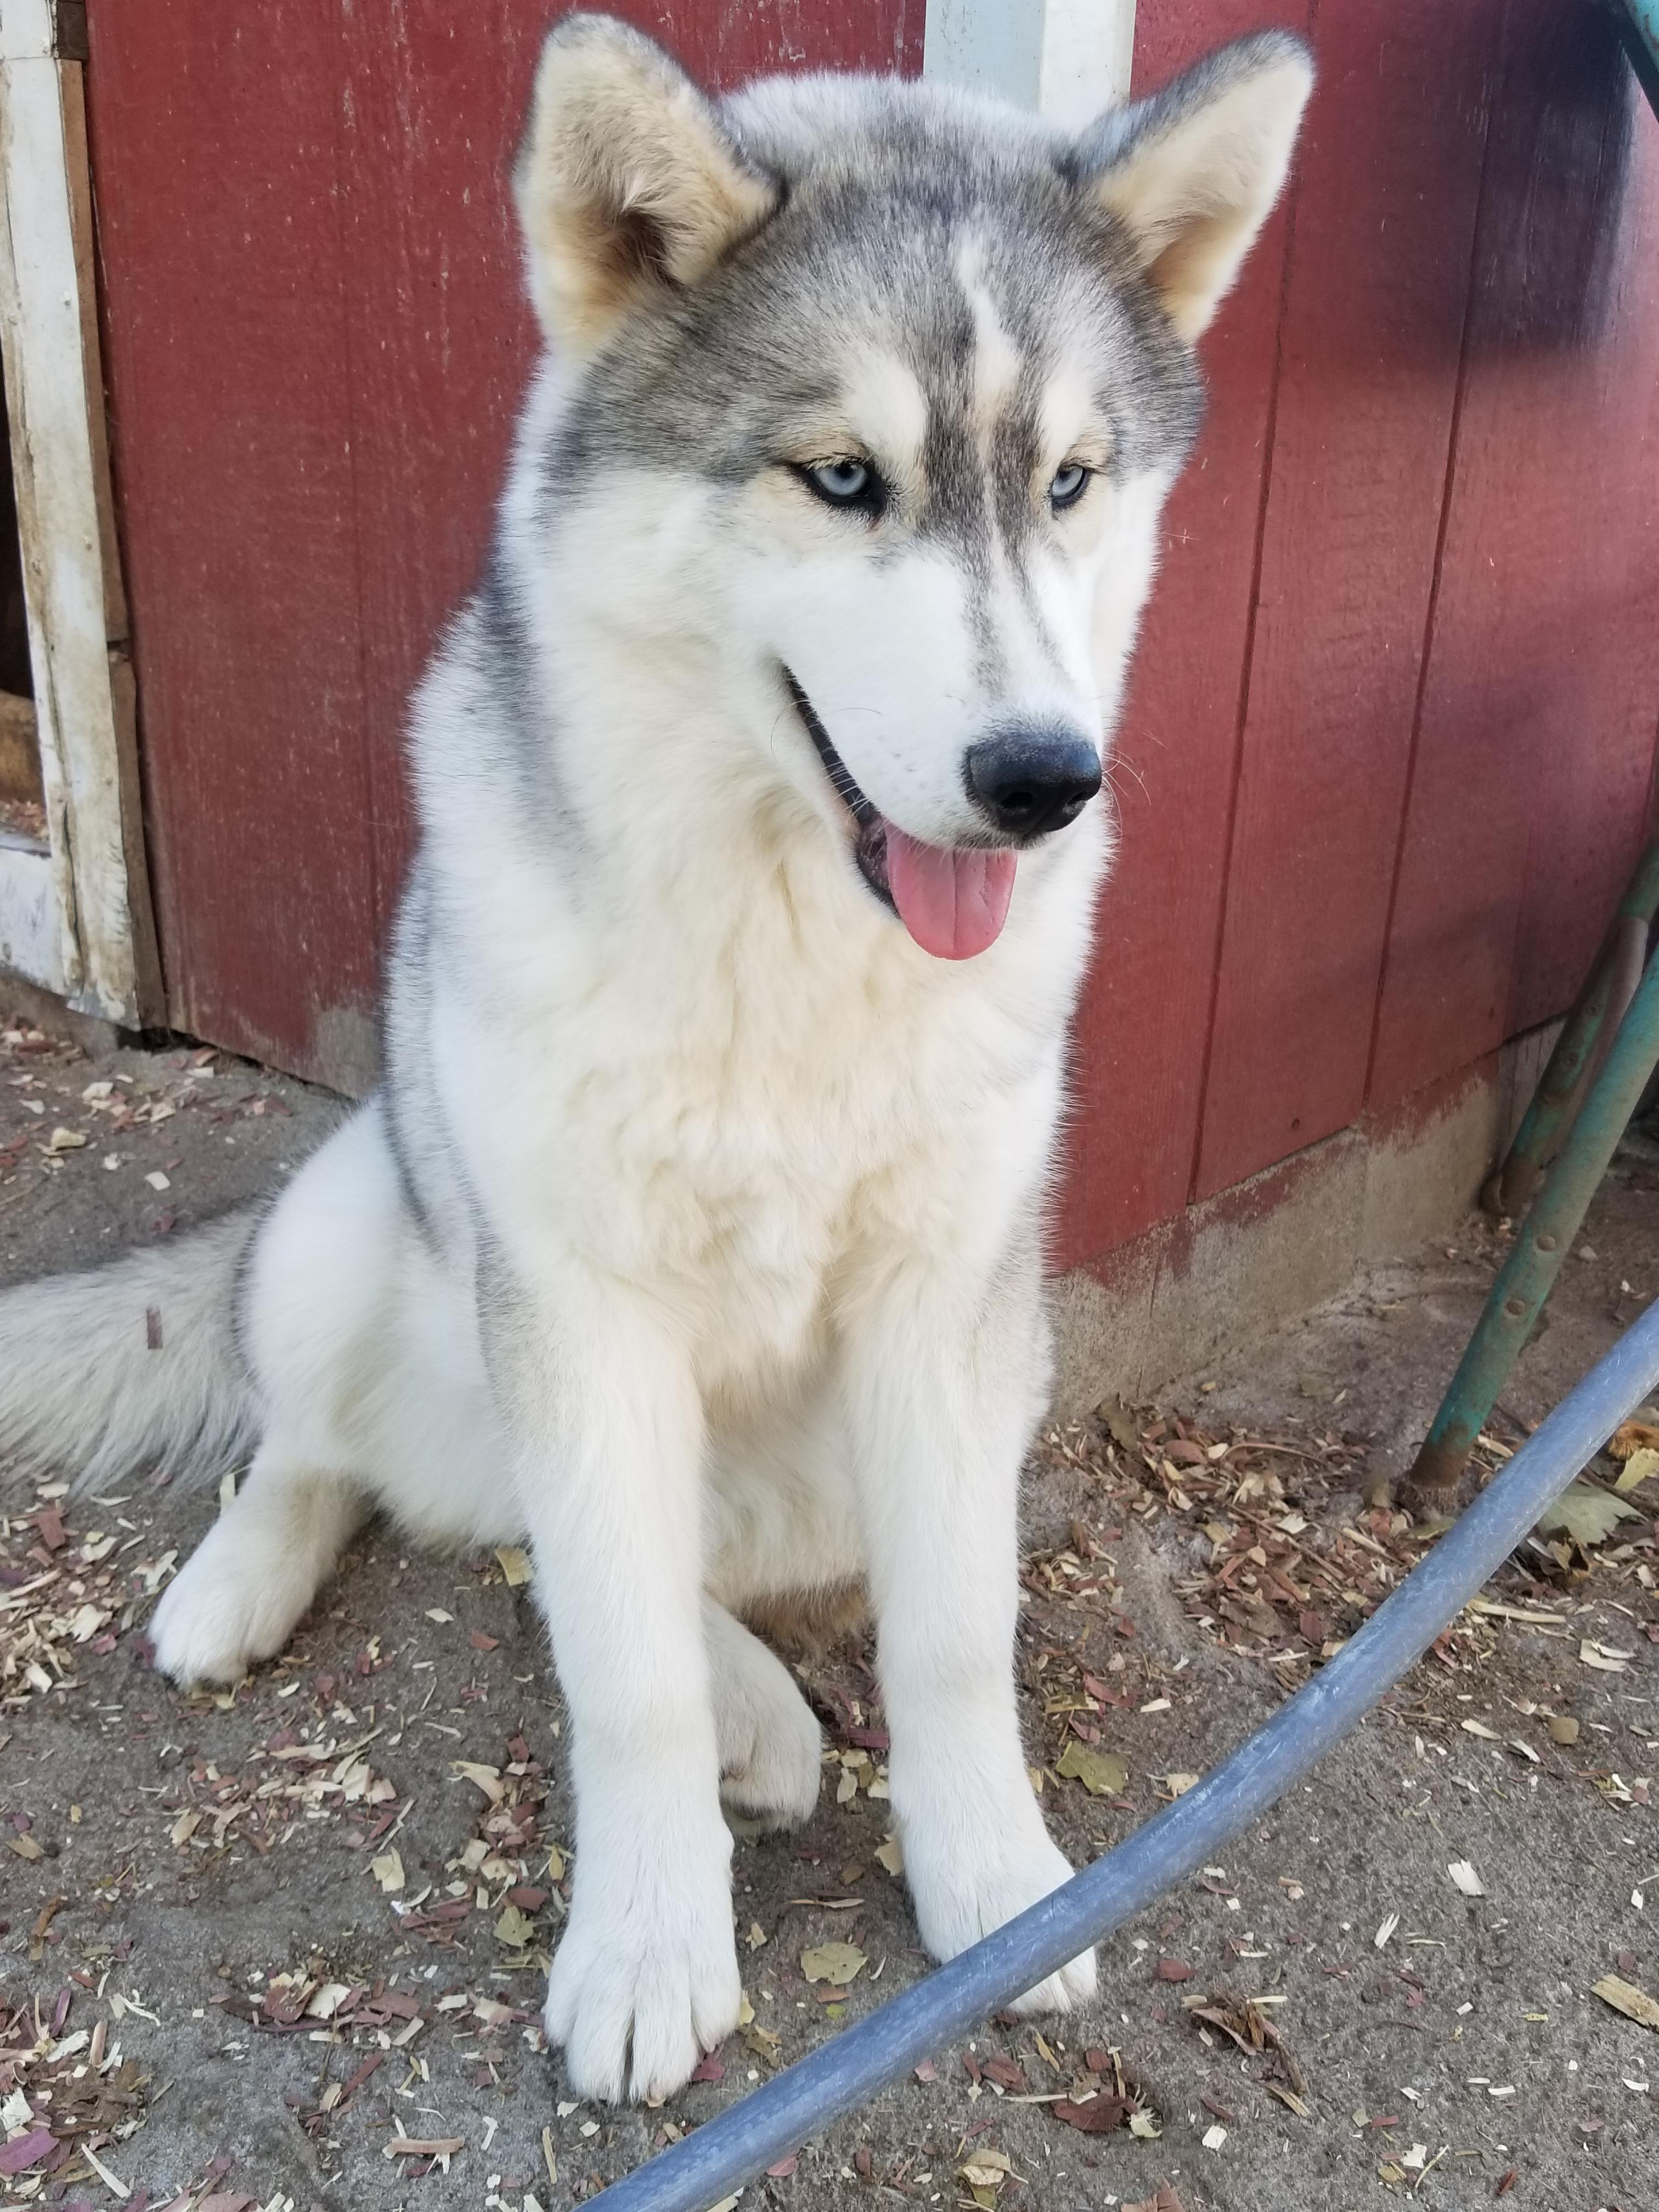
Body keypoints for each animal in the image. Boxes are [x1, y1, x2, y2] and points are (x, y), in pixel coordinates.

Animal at [0, 15, 1309, 2103]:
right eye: (843, 476)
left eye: (1070, 481)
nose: (1044, 780)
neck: (793, 942)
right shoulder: (580, 1306)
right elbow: (615, 1679)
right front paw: (643, 1947)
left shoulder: (950, 1310)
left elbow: (952, 1641)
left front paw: (994, 1882)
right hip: (368, 1220)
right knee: (353, 1458)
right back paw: (255, 1582)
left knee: (597, 1549)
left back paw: (760, 1707)